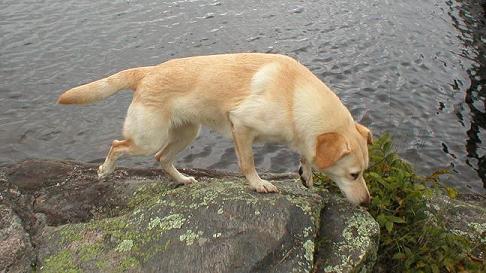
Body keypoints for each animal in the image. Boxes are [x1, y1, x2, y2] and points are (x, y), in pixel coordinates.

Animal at [58, 53, 374, 205]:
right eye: (353, 174)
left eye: (363, 173)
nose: (366, 202)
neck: (294, 95)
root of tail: (147, 72)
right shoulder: (241, 126)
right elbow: (248, 163)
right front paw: (258, 185)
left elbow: (307, 153)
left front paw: (306, 173)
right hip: (148, 138)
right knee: (117, 145)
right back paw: (104, 170)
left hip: (187, 133)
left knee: (162, 158)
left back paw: (183, 180)